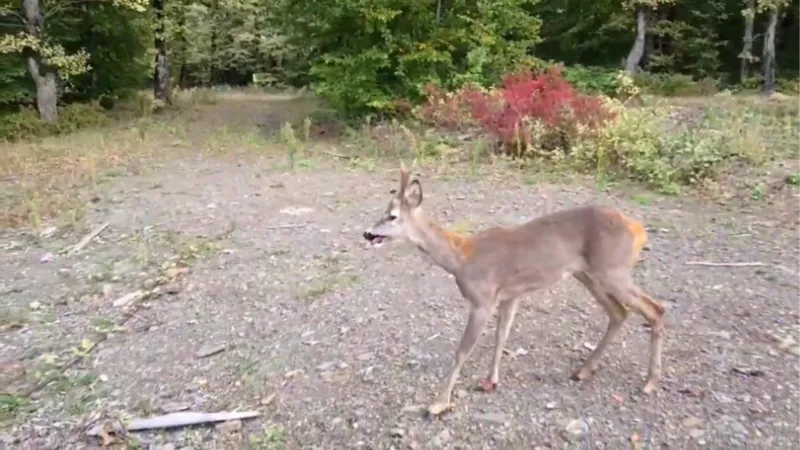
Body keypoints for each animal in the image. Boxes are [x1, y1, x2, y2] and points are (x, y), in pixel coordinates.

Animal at [364, 163, 668, 416]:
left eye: (392, 216)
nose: (367, 233)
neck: (462, 259)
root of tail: (639, 230)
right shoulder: (510, 296)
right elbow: (502, 336)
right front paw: (490, 381)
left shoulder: (483, 300)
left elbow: (462, 351)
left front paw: (438, 403)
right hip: (588, 274)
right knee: (619, 312)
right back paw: (583, 370)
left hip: (613, 270)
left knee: (655, 309)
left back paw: (650, 382)